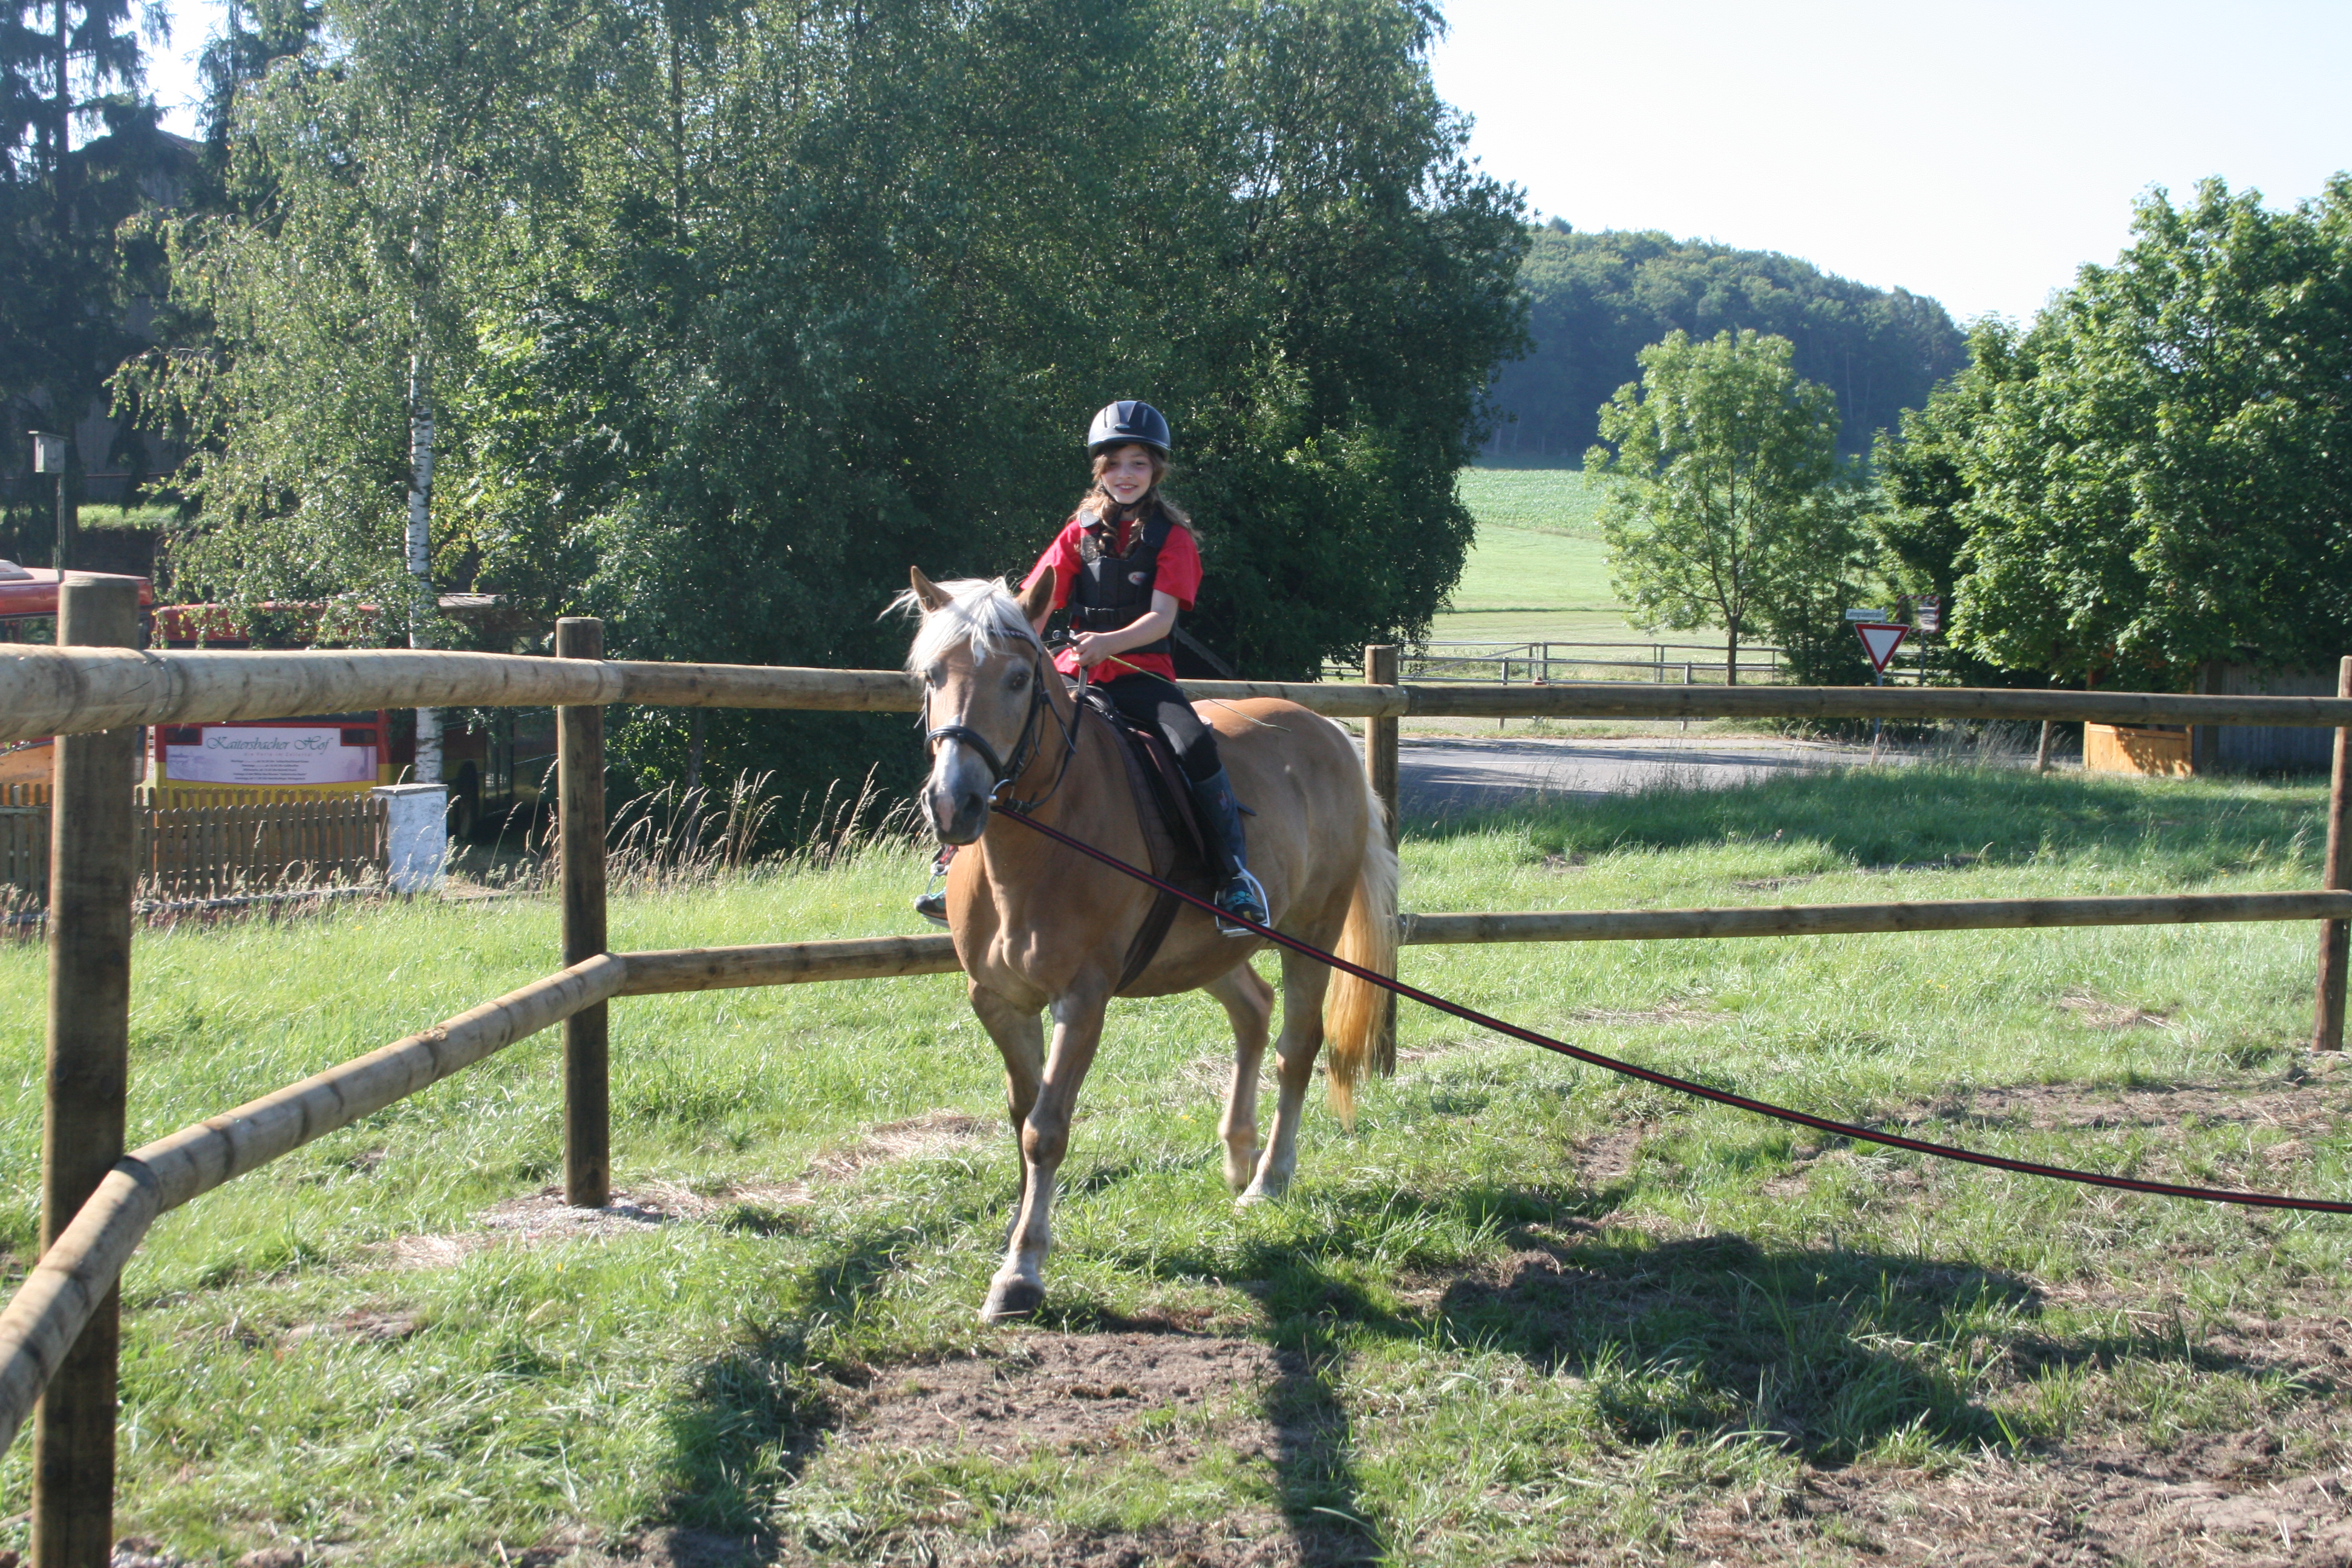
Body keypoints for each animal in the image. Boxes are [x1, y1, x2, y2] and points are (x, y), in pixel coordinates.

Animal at [893, 566, 1373, 1325]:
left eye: (1019, 678)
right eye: (933, 674)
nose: (953, 804)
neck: (1034, 849)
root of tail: (1326, 731)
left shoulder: (1082, 1000)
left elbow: (1046, 1128)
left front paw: (1021, 1274)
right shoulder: (997, 1000)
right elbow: (1021, 1114)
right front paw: (1018, 1232)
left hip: (1312, 933)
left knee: (1297, 1046)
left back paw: (1268, 1179)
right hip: (1204, 950)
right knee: (1253, 1009)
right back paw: (1238, 1152)